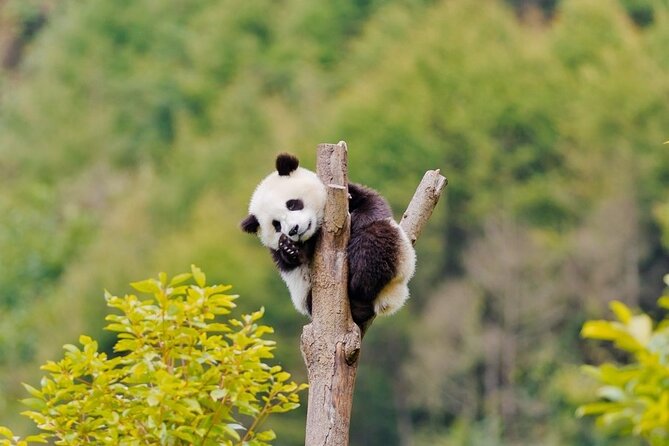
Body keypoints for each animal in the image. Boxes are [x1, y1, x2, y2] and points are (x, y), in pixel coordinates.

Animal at [241, 153, 416, 329]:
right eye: (276, 225)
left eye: (292, 204)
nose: (293, 230)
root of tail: (388, 301)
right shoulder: (279, 253)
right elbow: (292, 260)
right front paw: (290, 248)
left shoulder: (348, 191)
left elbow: (371, 202)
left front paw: (357, 219)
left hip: (400, 260)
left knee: (376, 240)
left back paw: (360, 277)